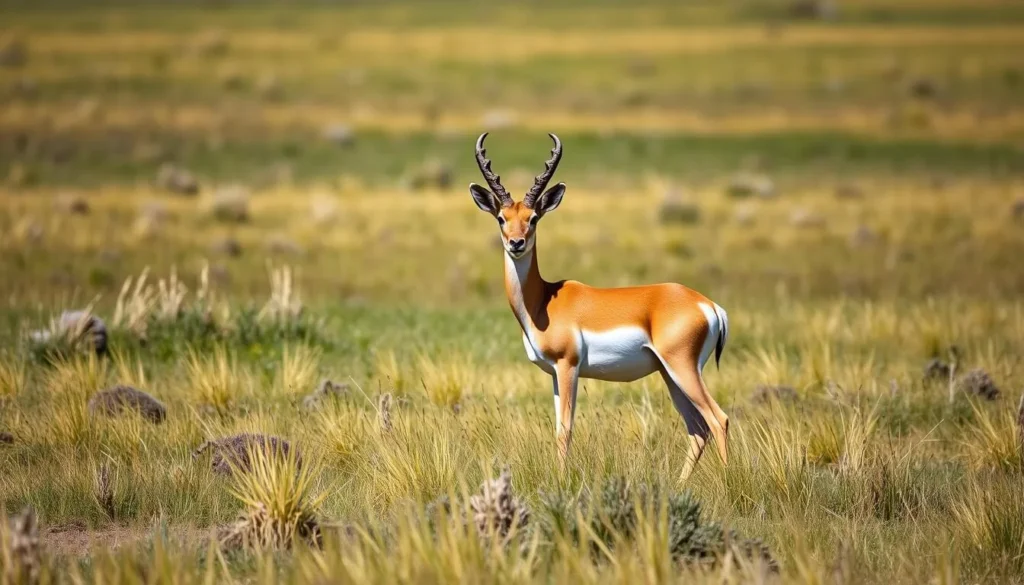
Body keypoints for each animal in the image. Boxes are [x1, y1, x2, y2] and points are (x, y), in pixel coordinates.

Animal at [469, 133, 730, 479]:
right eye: (502, 218)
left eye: (533, 218)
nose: (516, 244)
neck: (542, 303)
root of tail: (708, 304)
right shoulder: (554, 373)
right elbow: (557, 427)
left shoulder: (568, 366)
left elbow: (565, 430)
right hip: (669, 373)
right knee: (698, 428)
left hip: (683, 368)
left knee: (718, 419)